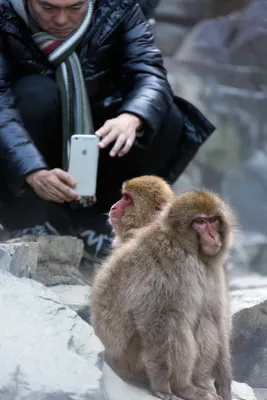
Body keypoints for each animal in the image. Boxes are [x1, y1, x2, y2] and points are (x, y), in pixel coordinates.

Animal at [91, 190, 237, 400]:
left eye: (213, 220)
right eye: (200, 222)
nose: (212, 235)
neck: (190, 250)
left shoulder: (213, 271)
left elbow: (218, 318)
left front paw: (225, 381)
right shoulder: (172, 261)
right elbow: (154, 316)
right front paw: (161, 386)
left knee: (206, 319)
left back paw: (200, 385)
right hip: (131, 360)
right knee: (173, 321)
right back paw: (182, 387)